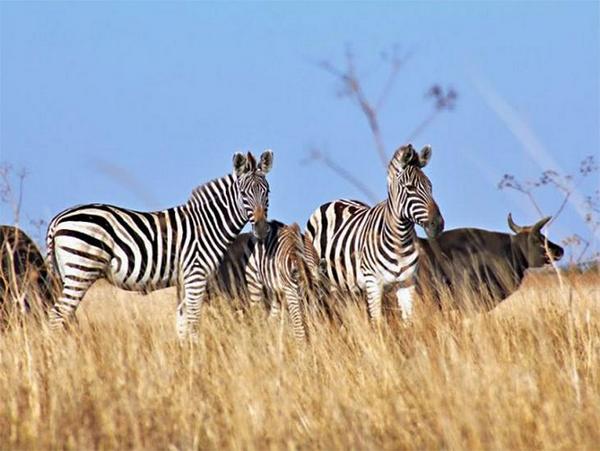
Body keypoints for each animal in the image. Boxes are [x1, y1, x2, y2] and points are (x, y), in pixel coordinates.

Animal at [45, 152, 274, 340]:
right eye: (243, 194)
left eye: (267, 192)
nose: (262, 229)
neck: (208, 223)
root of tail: (58, 219)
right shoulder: (196, 274)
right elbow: (193, 320)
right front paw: (196, 357)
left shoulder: (184, 279)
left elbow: (182, 321)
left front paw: (185, 357)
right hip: (82, 269)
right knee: (57, 315)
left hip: (67, 272)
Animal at [308, 144, 442, 322]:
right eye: (410, 188)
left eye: (430, 186)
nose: (438, 224)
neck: (400, 238)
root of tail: (335, 200)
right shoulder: (373, 283)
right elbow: (378, 322)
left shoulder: (407, 282)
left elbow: (408, 320)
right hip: (320, 281)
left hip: (350, 287)